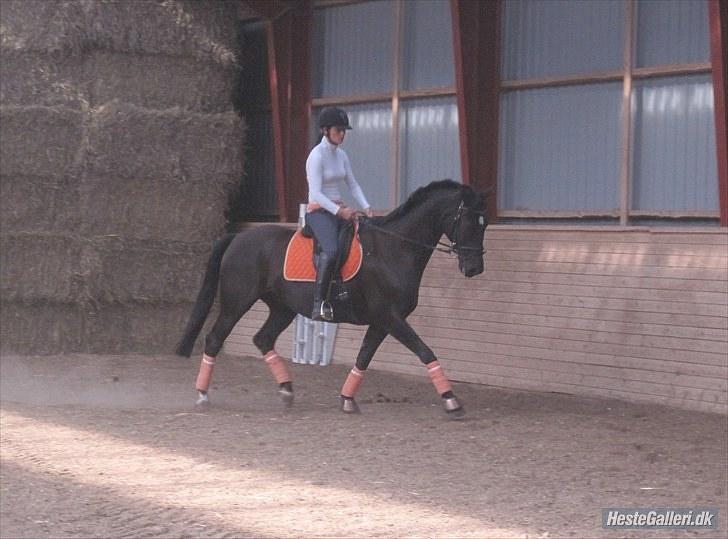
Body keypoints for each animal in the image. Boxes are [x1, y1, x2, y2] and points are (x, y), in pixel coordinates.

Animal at [178, 179, 490, 420]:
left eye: (484, 224)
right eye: (468, 221)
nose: (475, 268)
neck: (394, 248)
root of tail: (237, 238)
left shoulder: (382, 322)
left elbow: (364, 357)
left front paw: (347, 399)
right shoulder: (391, 317)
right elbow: (425, 352)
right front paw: (451, 401)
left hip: (282, 308)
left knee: (262, 338)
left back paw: (287, 390)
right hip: (237, 302)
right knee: (215, 339)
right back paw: (203, 395)